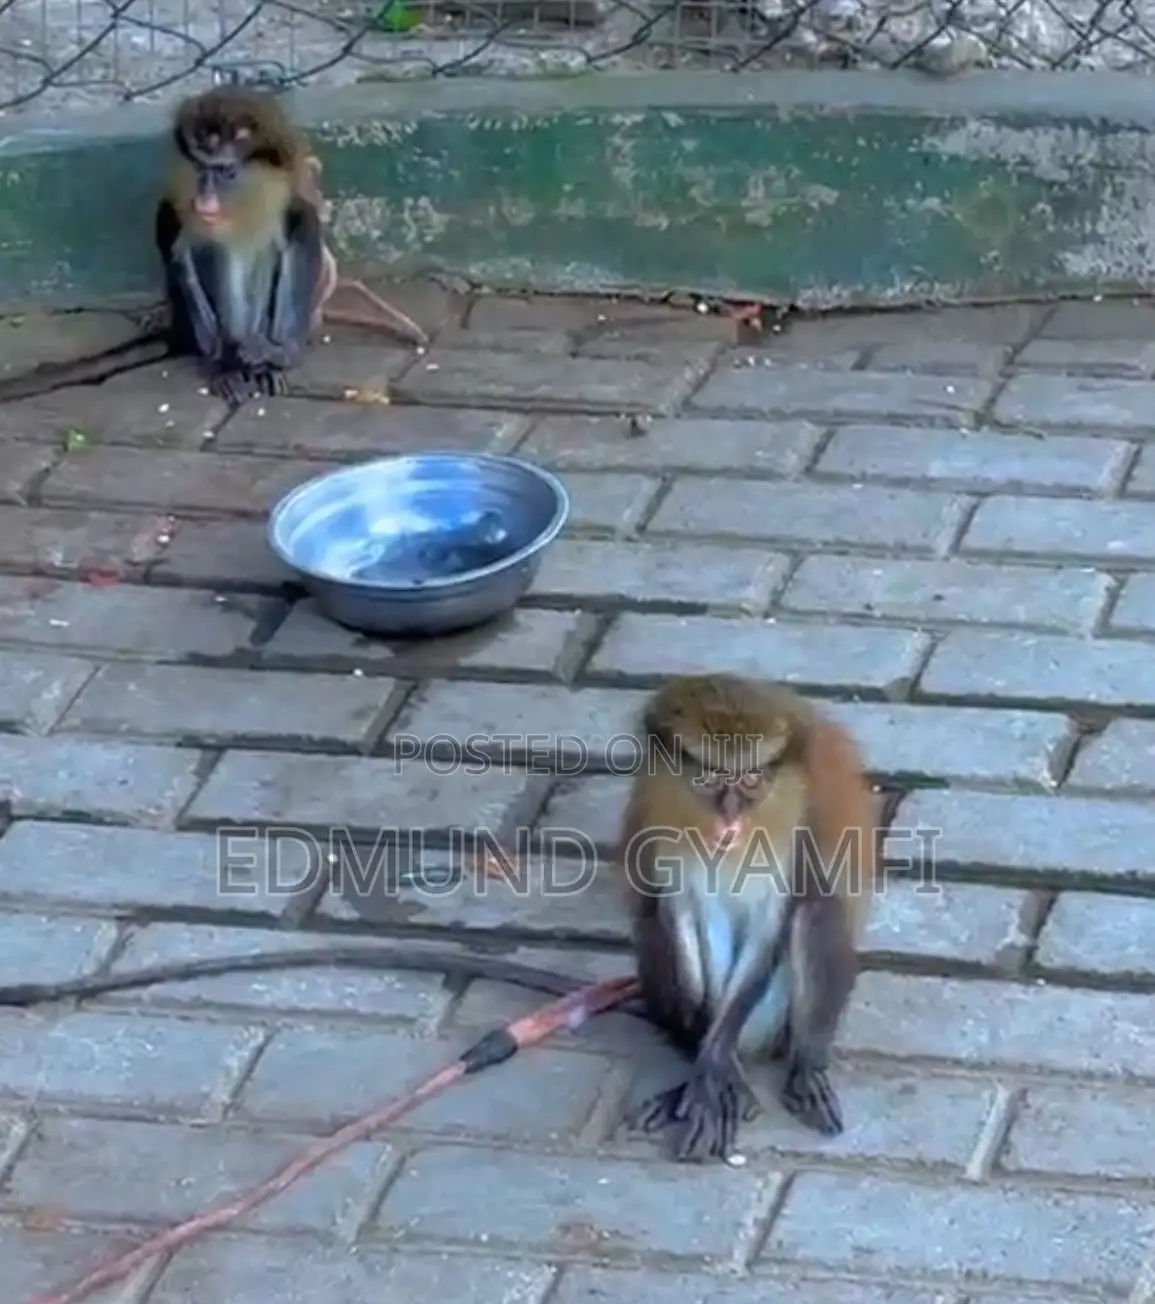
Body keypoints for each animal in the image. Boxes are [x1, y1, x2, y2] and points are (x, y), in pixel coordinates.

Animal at [0, 87, 428, 406]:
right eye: (199, 169)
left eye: (225, 172)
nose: (204, 202)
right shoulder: (176, 204)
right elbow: (182, 251)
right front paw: (223, 360)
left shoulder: (294, 198)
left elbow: (301, 237)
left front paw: (276, 356)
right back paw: (230, 360)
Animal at [616, 673, 878, 1162]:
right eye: (708, 777)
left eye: (752, 778)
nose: (731, 814)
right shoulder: (661, 820)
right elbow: (682, 907)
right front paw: (711, 1058)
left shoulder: (794, 829)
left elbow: (771, 928)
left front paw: (715, 1067)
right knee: (655, 920)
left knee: (815, 911)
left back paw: (801, 1066)